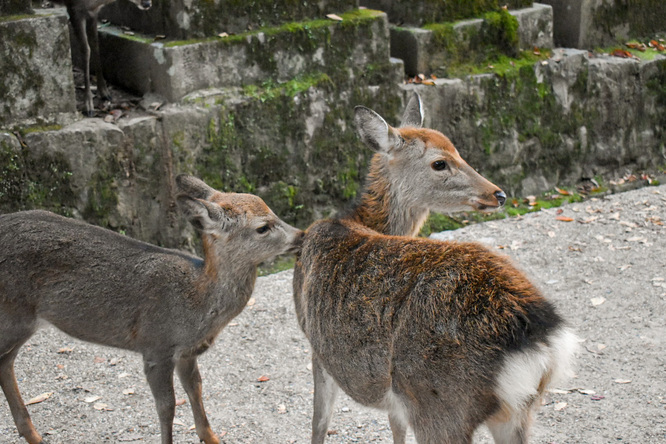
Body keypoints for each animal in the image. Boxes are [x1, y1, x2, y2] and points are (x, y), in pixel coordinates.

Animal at [0, 174, 304, 444]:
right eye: (263, 226)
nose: (301, 235)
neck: (196, 303)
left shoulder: (186, 352)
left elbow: (196, 389)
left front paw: (212, 437)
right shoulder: (156, 345)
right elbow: (167, 407)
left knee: (5, 362)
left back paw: (33, 435)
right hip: (13, 314)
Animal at [292, 93, 576, 444]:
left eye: (458, 150)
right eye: (440, 162)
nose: (498, 194)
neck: (356, 220)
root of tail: (538, 337)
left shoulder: (313, 338)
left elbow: (320, 420)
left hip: (435, 400)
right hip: (517, 410)